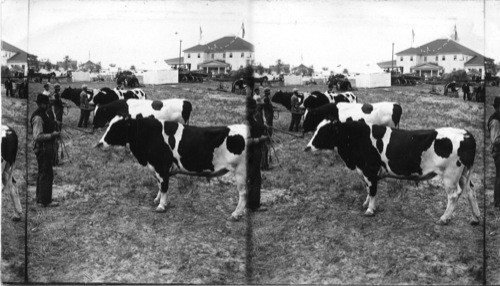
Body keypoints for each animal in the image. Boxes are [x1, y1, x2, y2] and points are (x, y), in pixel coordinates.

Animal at [95, 115, 248, 220]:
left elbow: (164, 187)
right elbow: (159, 185)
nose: (99, 144)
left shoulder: (161, 167)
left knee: (243, 193)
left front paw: (161, 206)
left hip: (241, 172)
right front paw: (157, 200)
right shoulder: (157, 168)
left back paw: (236, 214)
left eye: (116, 128)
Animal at [304, 119, 480, 225]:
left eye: (324, 131)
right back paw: (475, 218)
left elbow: (373, 190)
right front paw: (366, 203)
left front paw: (370, 209)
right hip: (464, 174)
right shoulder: (365, 172)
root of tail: (466, 134)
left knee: (454, 195)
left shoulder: (370, 170)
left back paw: (444, 218)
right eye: (316, 129)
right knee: (471, 192)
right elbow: (368, 189)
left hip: (450, 176)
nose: (307, 147)